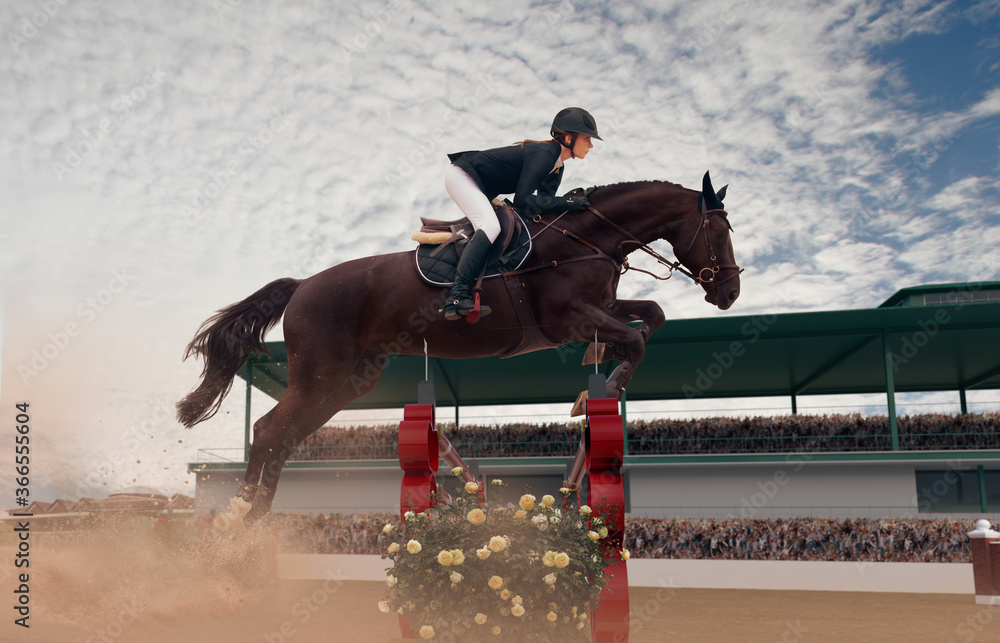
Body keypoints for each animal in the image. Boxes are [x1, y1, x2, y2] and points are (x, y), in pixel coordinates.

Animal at [178, 172, 744, 528]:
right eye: (719, 230)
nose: (730, 292)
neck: (583, 237)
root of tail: (301, 285)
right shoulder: (569, 317)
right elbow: (635, 337)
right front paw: (600, 392)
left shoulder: (596, 309)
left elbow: (652, 315)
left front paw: (598, 374)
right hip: (322, 373)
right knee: (268, 429)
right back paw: (239, 513)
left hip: (347, 383)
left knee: (283, 436)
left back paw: (256, 518)